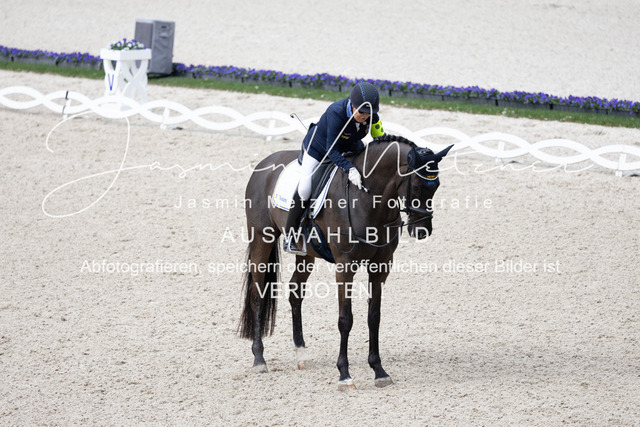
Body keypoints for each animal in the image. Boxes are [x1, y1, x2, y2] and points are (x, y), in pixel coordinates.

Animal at [238, 133, 453, 390]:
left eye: (437, 186)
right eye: (418, 186)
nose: (422, 231)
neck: (369, 199)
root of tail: (264, 163)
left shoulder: (381, 266)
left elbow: (374, 316)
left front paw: (379, 371)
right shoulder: (345, 266)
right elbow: (345, 319)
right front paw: (344, 375)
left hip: (306, 253)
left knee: (295, 292)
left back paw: (301, 353)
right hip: (262, 238)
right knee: (257, 295)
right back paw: (259, 360)